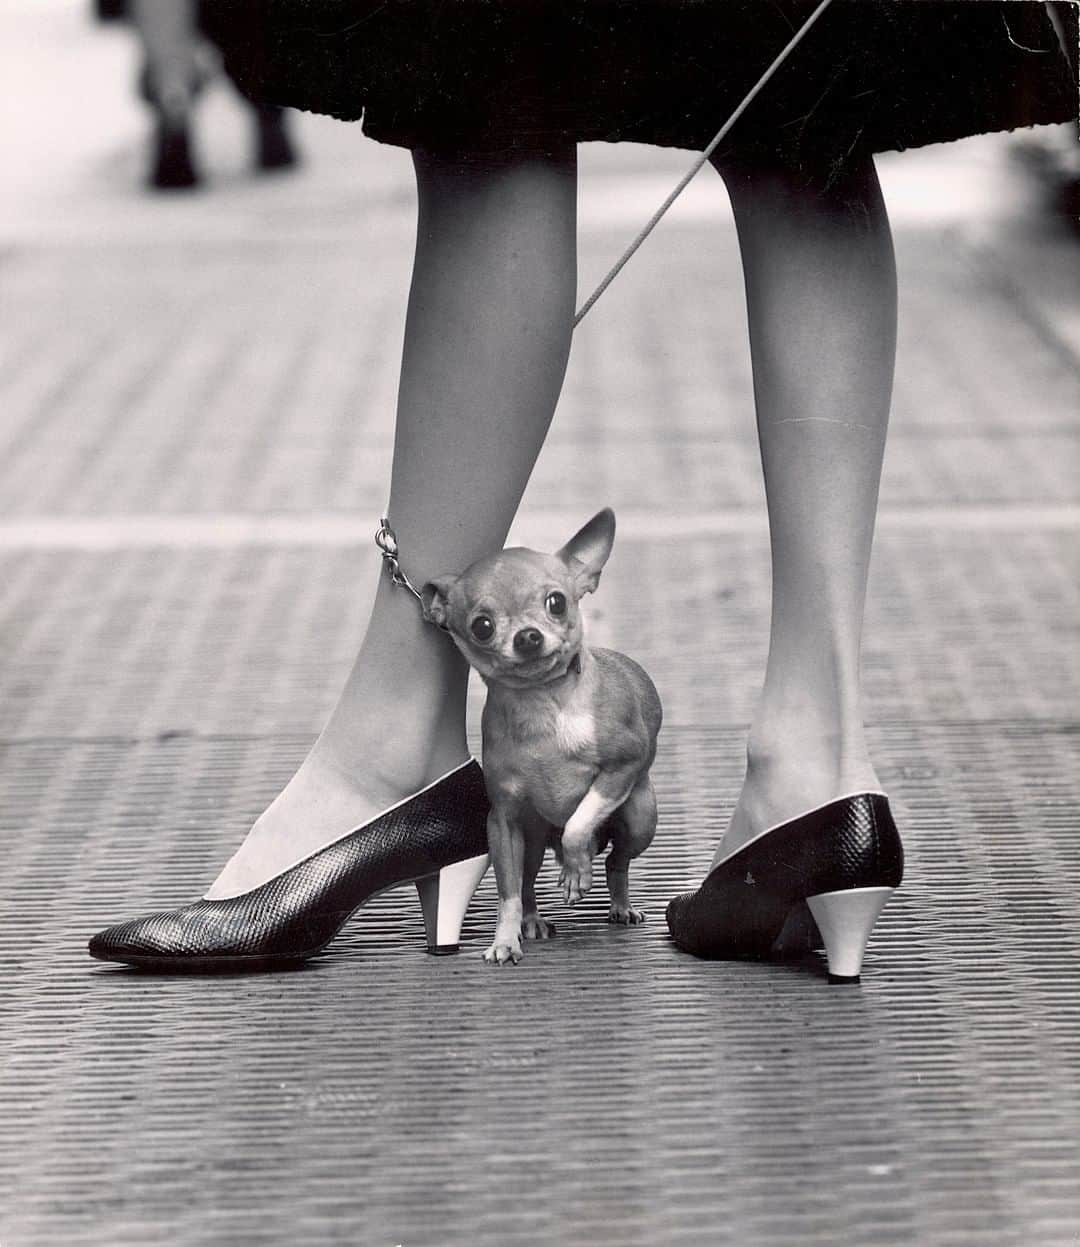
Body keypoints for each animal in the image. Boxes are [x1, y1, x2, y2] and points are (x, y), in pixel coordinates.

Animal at [419, 506, 658, 962]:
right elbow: (508, 894)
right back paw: (532, 921)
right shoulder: (504, 822)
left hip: (641, 819)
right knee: (527, 883)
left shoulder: (623, 766)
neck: (543, 705)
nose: (527, 636)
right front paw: (503, 940)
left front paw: (575, 870)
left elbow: (580, 822)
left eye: (556, 602)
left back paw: (617, 902)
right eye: (482, 626)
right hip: (529, 840)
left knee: (615, 861)